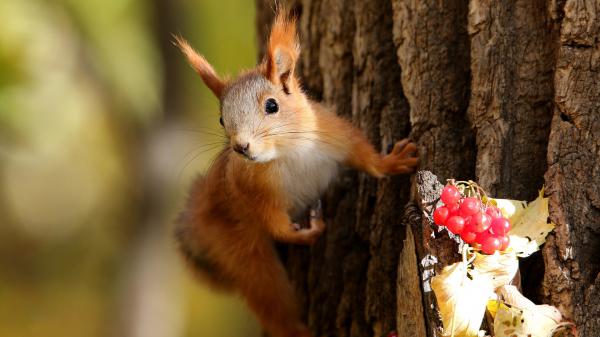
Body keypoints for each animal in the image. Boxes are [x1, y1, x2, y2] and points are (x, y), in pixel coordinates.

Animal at [173, 9, 418, 336]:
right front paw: (306, 233)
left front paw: (393, 161)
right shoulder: (249, 191)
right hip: (237, 246)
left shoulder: (335, 133)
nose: (241, 147)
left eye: (272, 105)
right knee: (269, 296)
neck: (287, 153)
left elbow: (364, 154)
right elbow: (276, 225)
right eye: (222, 119)